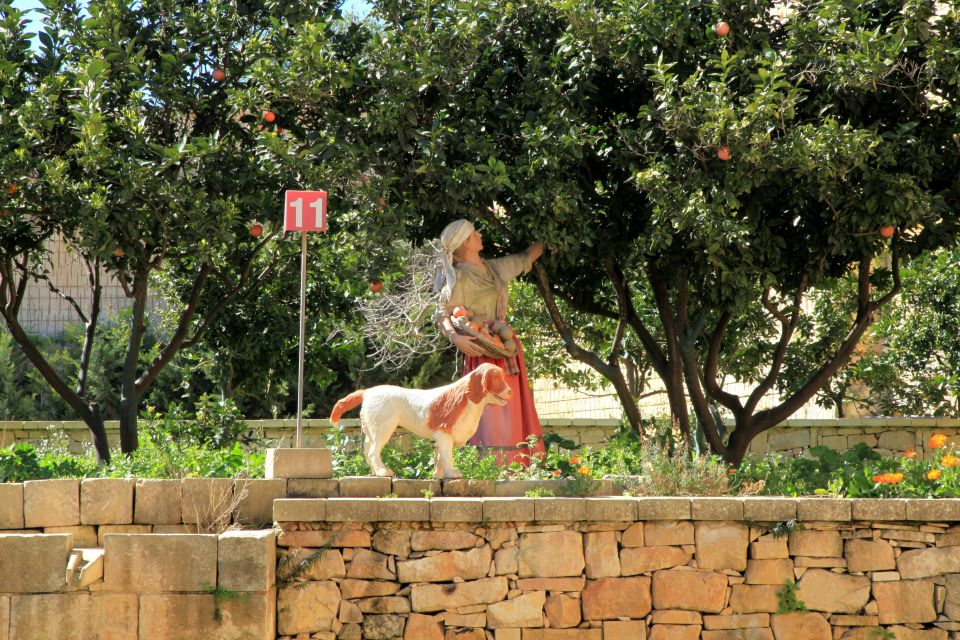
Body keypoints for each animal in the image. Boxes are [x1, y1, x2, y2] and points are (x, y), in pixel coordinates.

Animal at [328, 362, 510, 478]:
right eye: (496, 378)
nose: (510, 391)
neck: (466, 398)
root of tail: (367, 392)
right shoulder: (444, 435)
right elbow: (447, 457)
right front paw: (452, 474)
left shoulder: (441, 438)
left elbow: (439, 458)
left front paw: (438, 476)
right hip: (383, 429)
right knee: (373, 451)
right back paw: (383, 472)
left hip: (370, 430)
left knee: (367, 450)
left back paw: (374, 472)